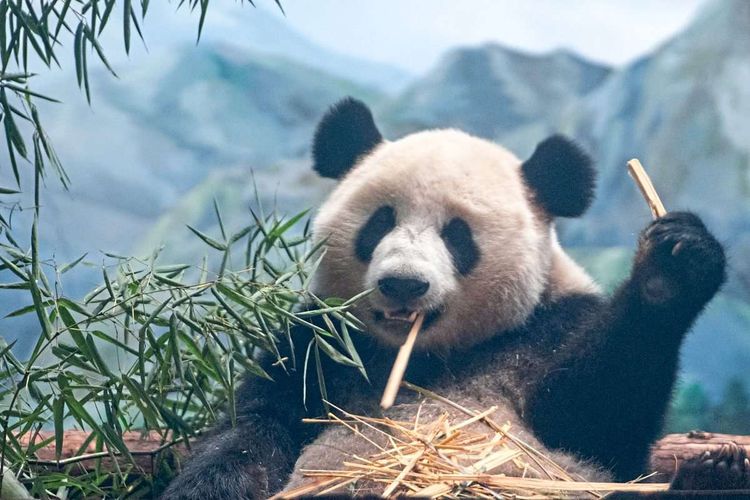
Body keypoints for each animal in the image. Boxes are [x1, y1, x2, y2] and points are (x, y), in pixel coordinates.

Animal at [162, 95, 748, 498]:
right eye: (380, 222)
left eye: (457, 235)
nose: (403, 283)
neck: (422, 358)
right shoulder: (320, 346)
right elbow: (254, 431)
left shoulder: (547, 332)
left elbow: (604, 421)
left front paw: (673, 266)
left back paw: (713, 477)